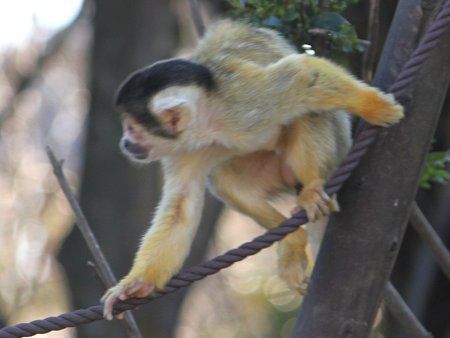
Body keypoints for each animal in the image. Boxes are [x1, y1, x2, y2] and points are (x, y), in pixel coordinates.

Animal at [102, 19, 404, 318]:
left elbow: (302, 74)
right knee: (224, 179)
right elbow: (180, 208)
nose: (125, 142)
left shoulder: (242, 102)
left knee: (307, 112)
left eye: (133, 129)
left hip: (334, 151)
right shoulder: (181, 149)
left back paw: (311, 188)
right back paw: (293, 239)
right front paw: (136, 285)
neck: (207, 122)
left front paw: (376, 106)